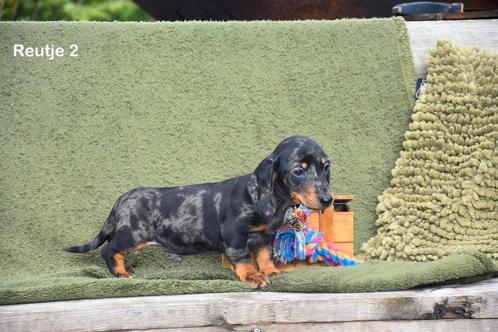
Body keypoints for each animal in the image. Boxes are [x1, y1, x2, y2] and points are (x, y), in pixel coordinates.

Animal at [65, 135, 330, 288]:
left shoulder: (264, 237)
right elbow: (244, 259)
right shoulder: (235, 235)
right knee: (109, 250)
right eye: (298, 171)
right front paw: (252, 276)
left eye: (326, 166)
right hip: (131, 235)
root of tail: (121, 199)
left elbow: (264, 256)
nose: (328, 200)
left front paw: (271, 271)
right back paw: (120, 273)